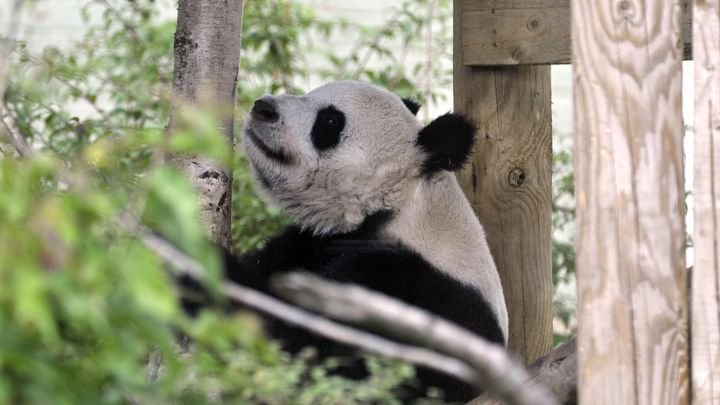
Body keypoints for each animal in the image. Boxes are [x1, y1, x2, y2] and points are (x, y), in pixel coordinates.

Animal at [193, 80, 506, 400]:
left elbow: (302, 347)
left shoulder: (397, 286)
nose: (263, 108)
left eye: (330, 121)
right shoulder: (313, 241)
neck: (401, 208)